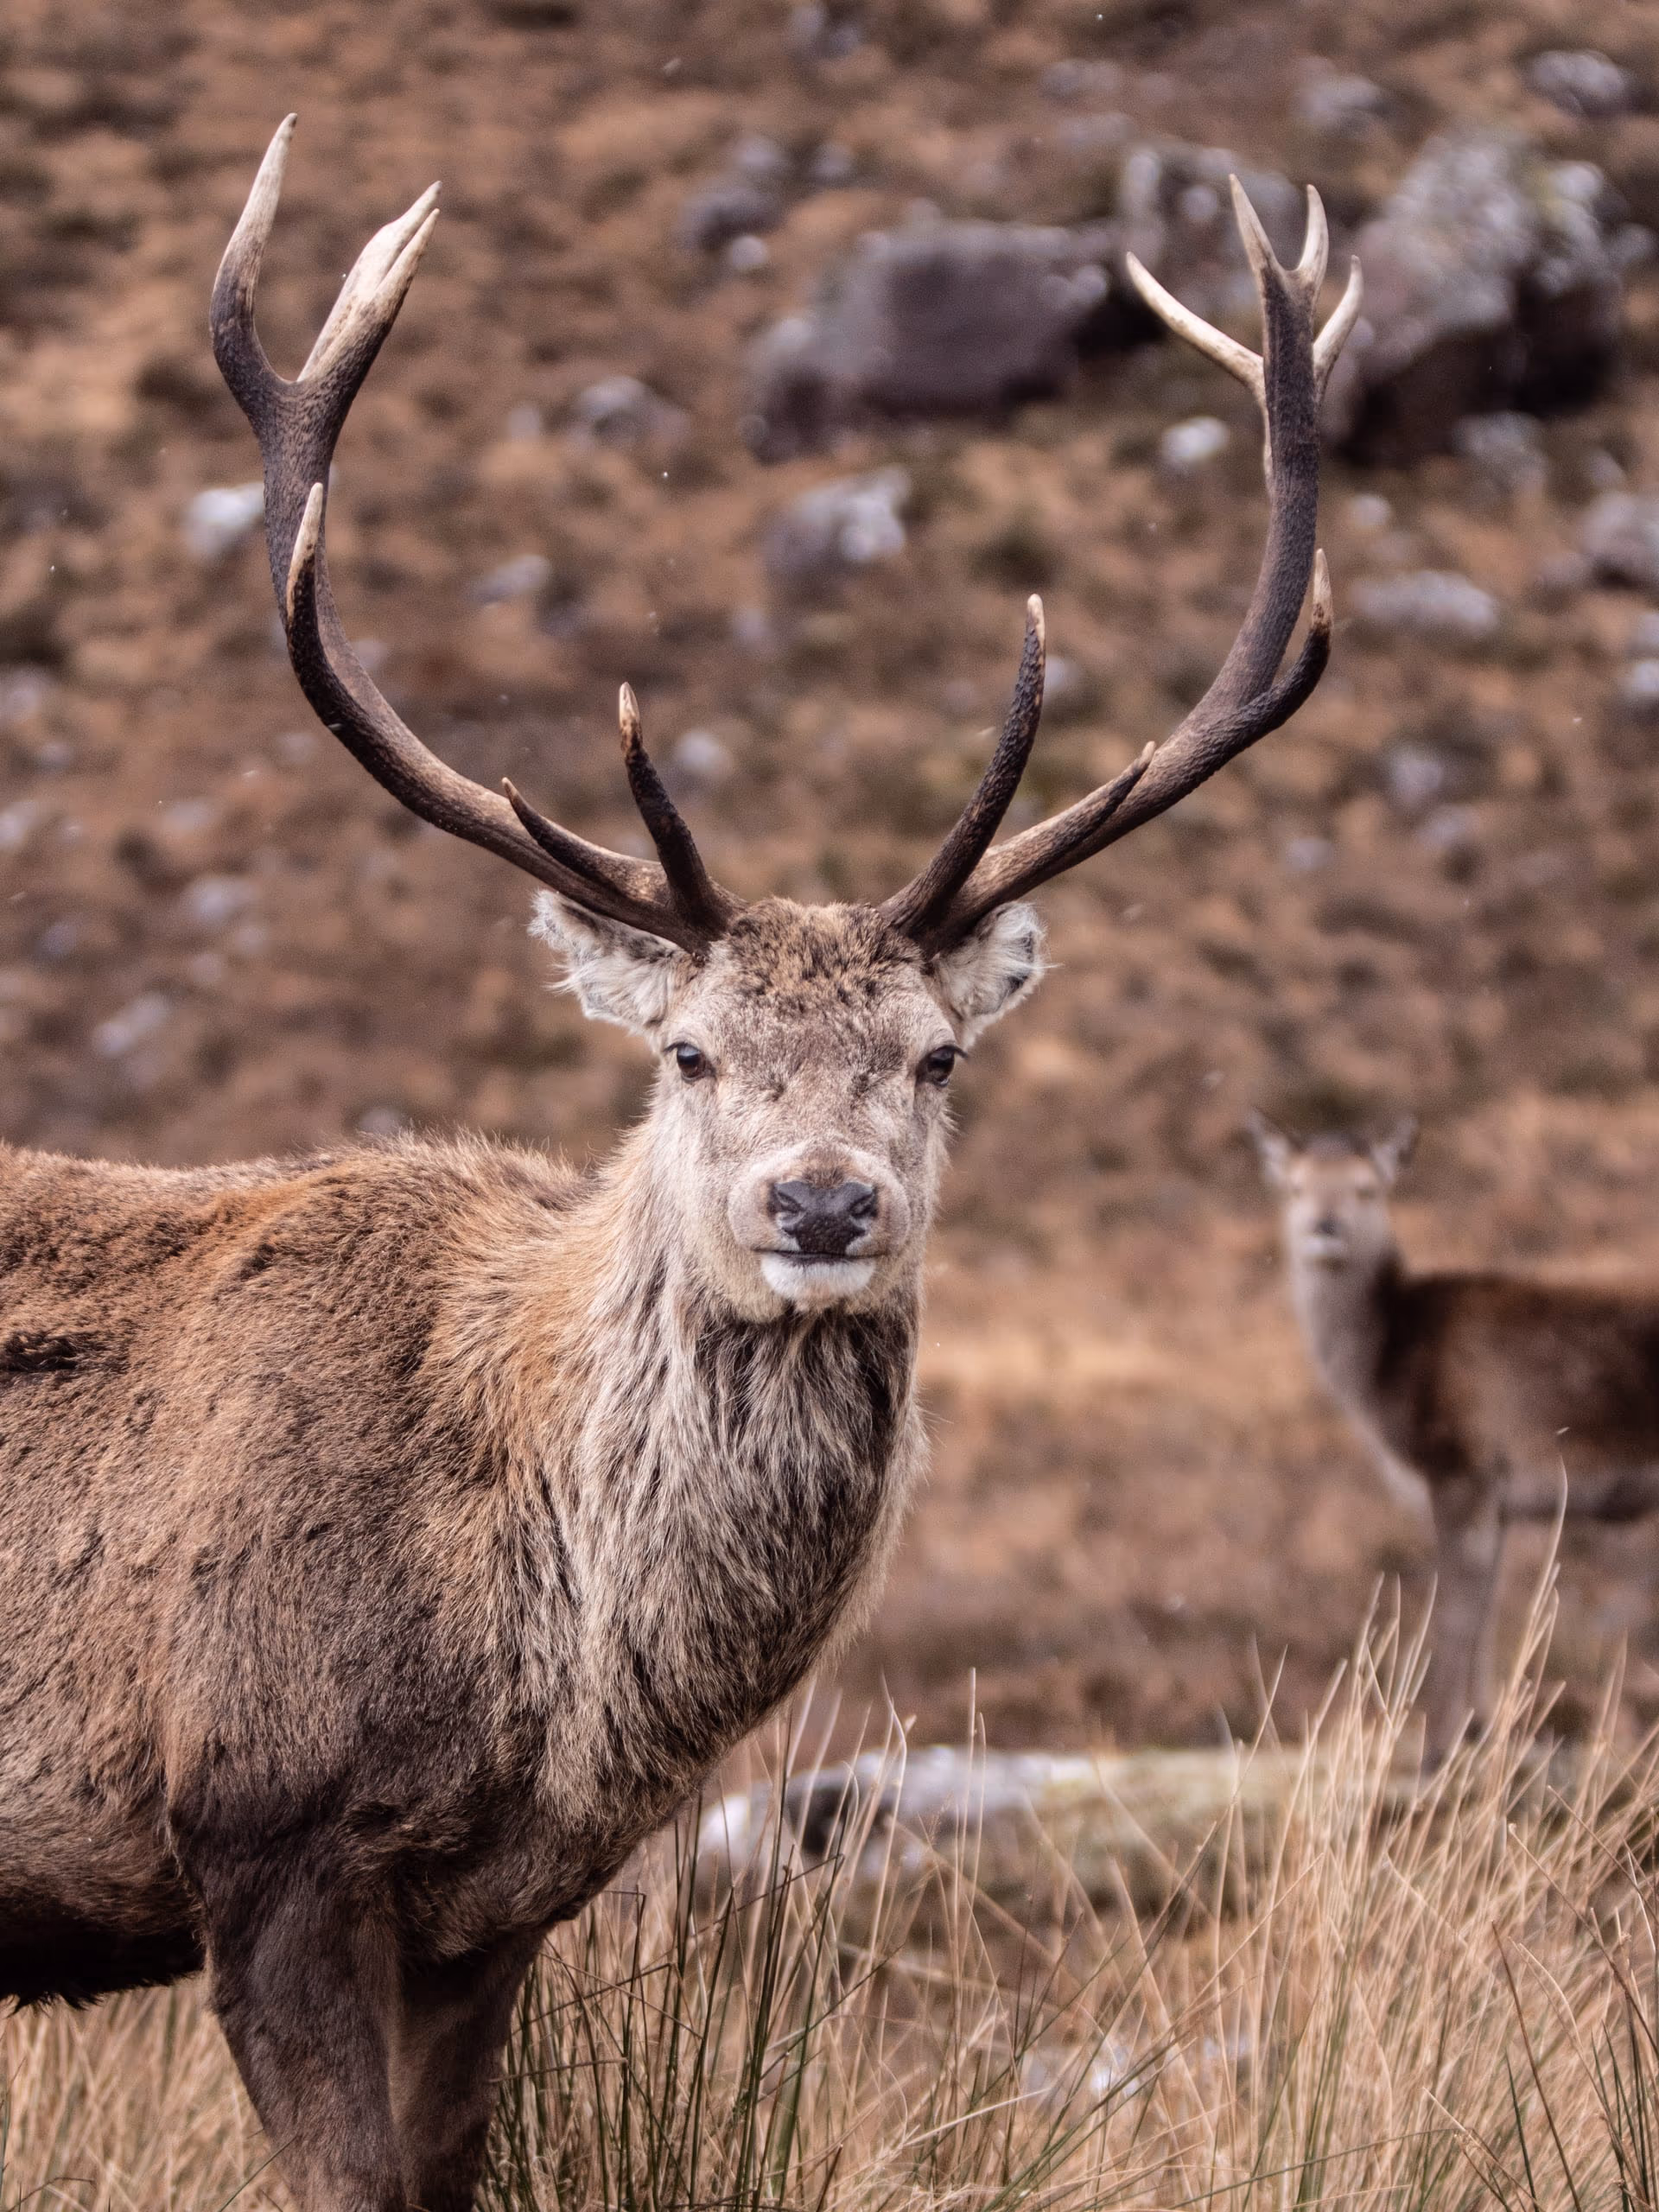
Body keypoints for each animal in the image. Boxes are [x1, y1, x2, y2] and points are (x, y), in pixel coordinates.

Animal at [1251, 1114, 1659, 1763]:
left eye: (1367, 1188)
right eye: (1295, 1188)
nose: (1326, 1228)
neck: (1380, 1373)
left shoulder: (1460, 1465)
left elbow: (1456, 1611)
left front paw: (1436, 1747)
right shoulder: (1500, 1500)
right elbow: (1485, 1606)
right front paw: (1482, 1733)